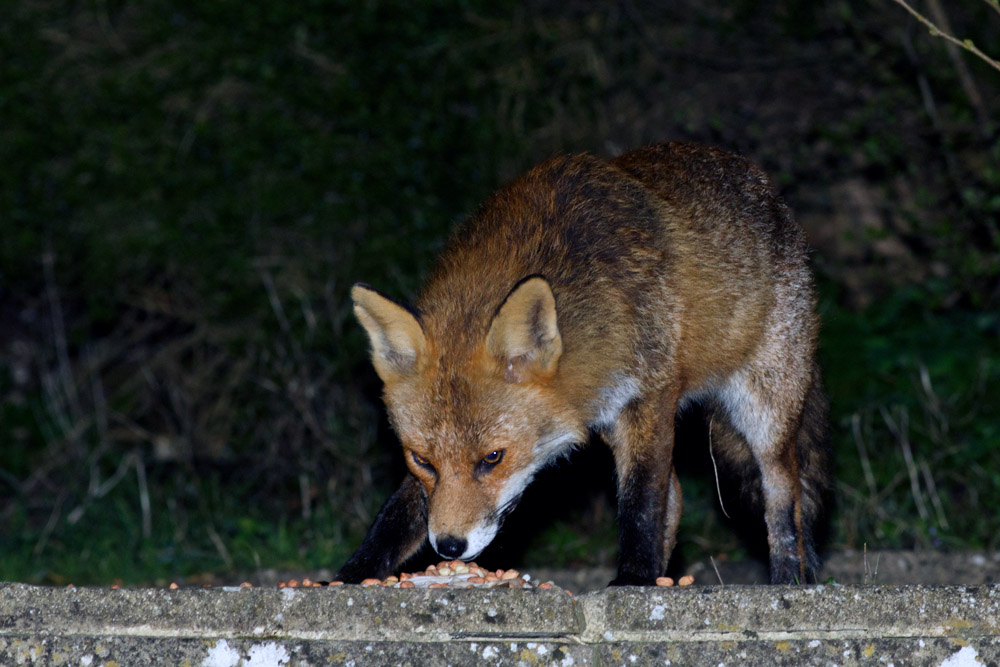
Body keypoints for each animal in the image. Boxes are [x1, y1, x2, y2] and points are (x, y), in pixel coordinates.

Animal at [336, 142, 832, 586]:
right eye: (422, 459)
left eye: (493, 458)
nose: (449, 546)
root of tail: (766, 189)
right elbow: (397, 516)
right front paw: (351, 577)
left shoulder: (647, 397)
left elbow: (641, 505)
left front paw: (632, 580)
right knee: (676, 496)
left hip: (763, 410)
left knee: (782, 495)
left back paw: (787, 579)